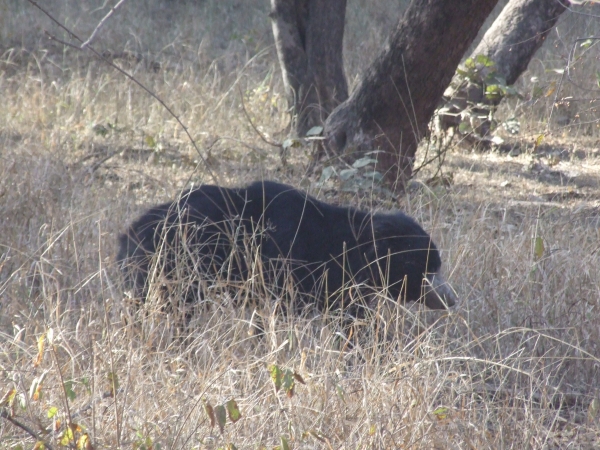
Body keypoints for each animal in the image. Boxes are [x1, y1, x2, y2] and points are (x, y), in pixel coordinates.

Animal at [116, 181, 454, 314]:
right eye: (426, 268)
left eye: (436, 267)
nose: (451, 298)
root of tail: (128, 235)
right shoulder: (288, 263)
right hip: (176, 266)